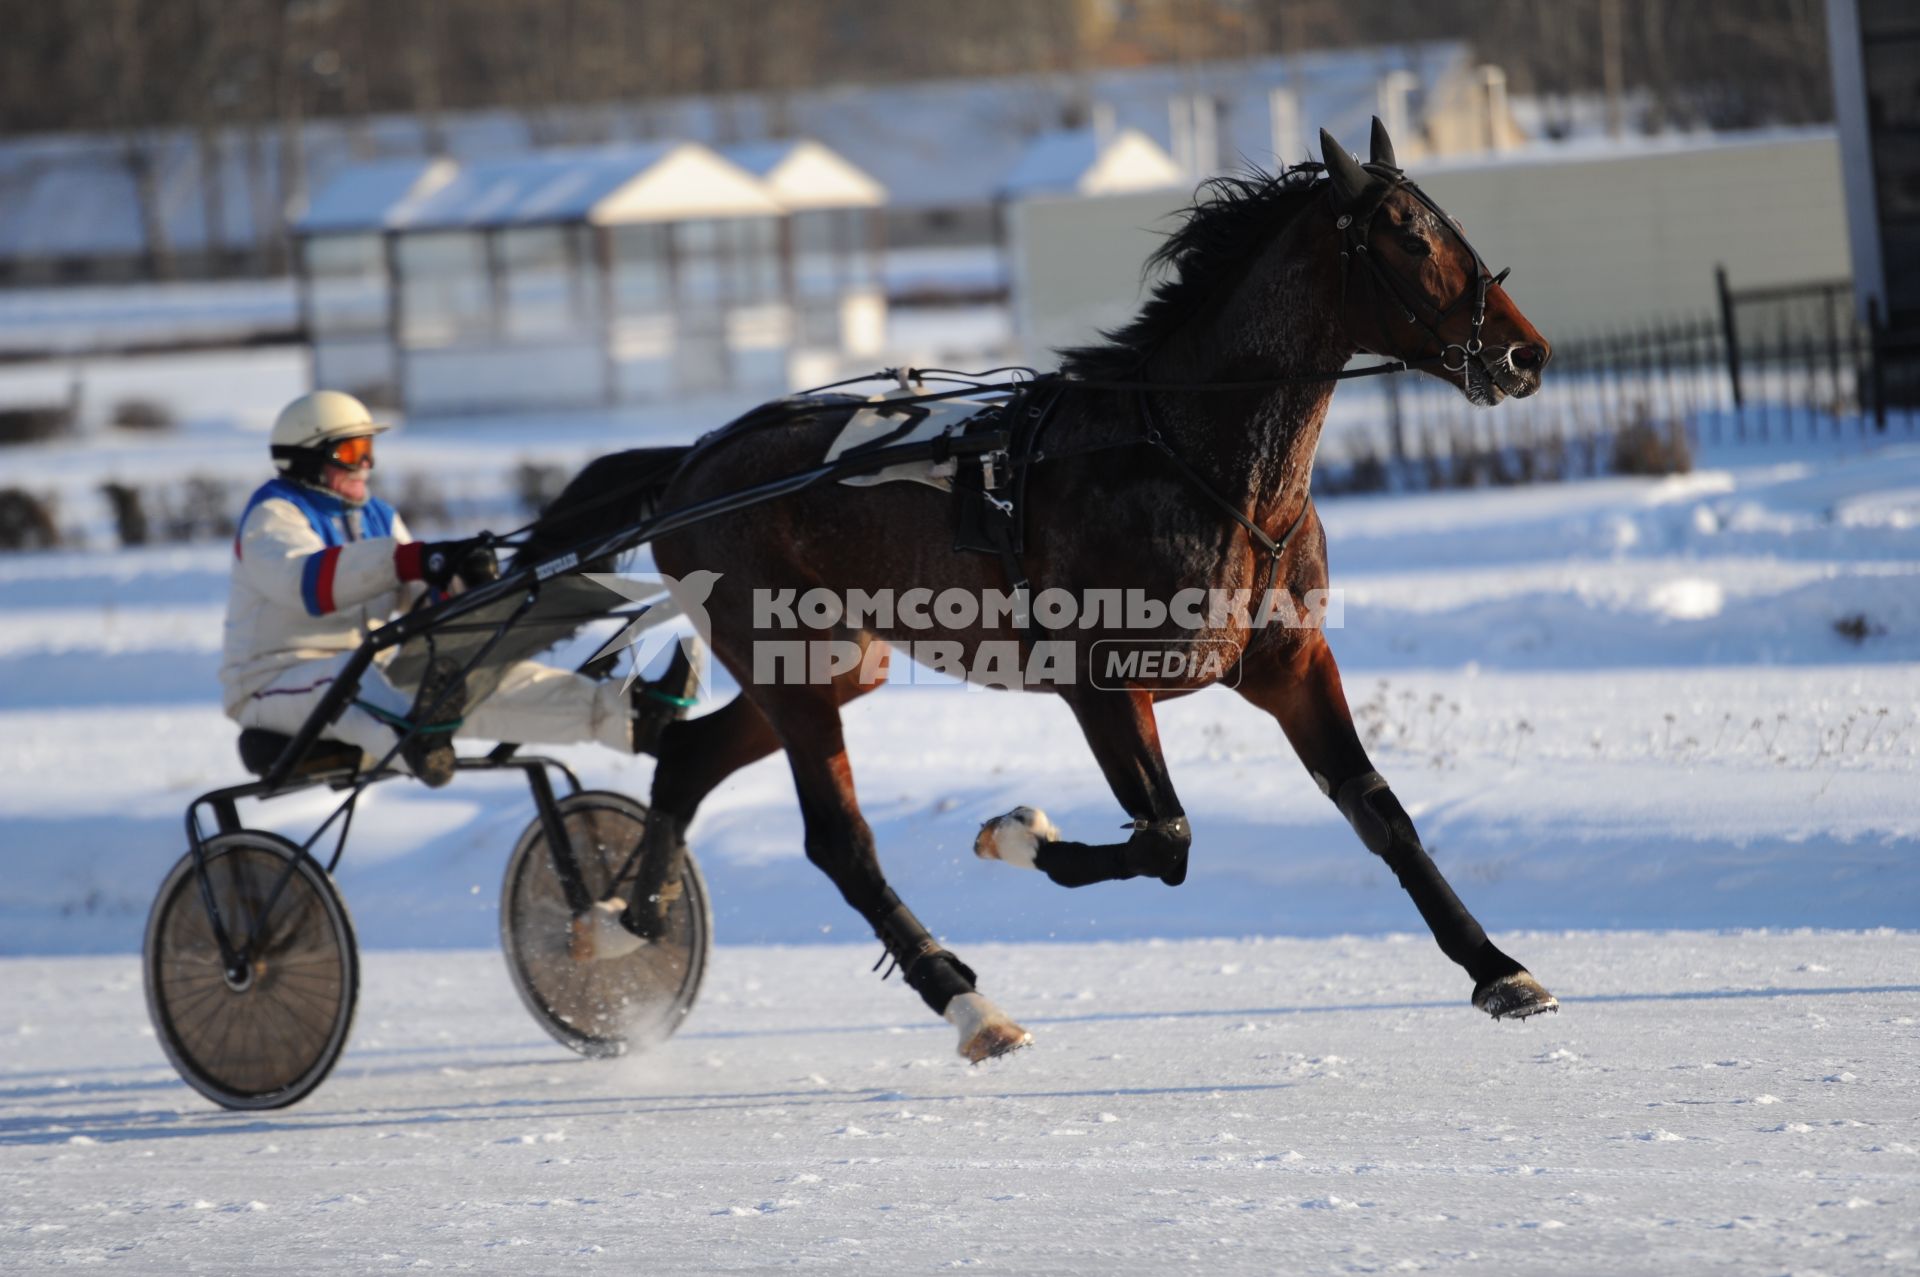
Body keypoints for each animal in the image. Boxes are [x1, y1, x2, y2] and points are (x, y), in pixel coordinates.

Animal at [514, 121, 1559, 1052]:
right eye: (1410, 235)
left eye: (1447, 221)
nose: (1524, 354)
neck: (1191, 461)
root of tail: (690, 463)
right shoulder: (1099, 684)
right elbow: (1166, 839)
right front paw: (1013, 831)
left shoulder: (1289, 661)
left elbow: (1380, 810)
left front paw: (1499, 968)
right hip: (790, 665)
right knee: (840, 844)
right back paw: (966, 1003)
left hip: (837, 665)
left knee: (689, 760)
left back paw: (620, 916)